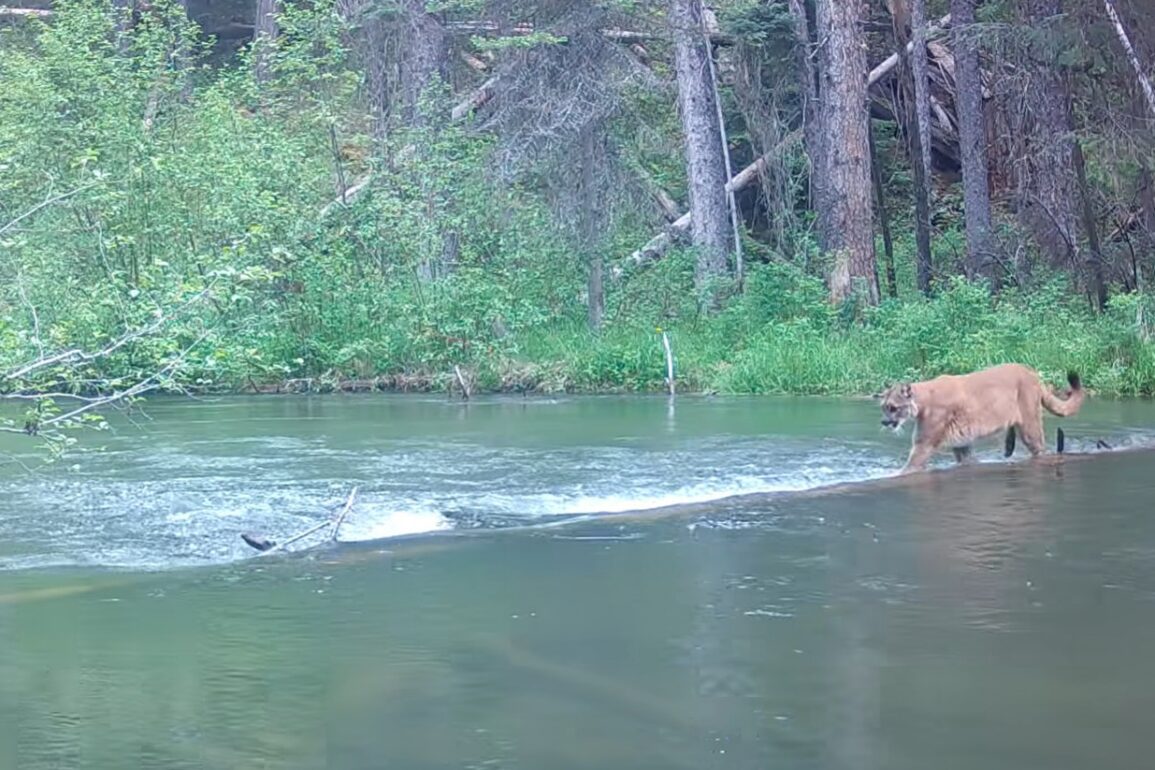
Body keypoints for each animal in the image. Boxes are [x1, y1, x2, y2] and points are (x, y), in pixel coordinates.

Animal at [878, 363, 1084, 474]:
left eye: (893, 408)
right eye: (883, 407)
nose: (884, 422)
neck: (923, 401)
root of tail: (1030, 371)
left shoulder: (923, 445)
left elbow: (908, 468)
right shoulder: (961, 443)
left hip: (1030, 427)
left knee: (1040, 449)